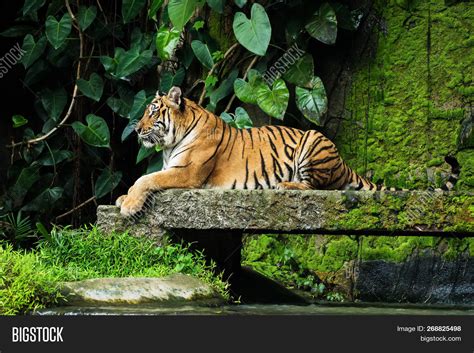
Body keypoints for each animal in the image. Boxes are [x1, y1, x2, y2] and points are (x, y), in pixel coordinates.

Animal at [116, 86, 462, 216]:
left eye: (152, 112)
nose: (136, 129)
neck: (170, 143)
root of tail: (344, 162)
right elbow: (141, 179)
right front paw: (122, 197)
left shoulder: (186, 173)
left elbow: (145, 179)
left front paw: (129, 205)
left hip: (311, 141)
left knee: (315, 187)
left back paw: (286, 185)